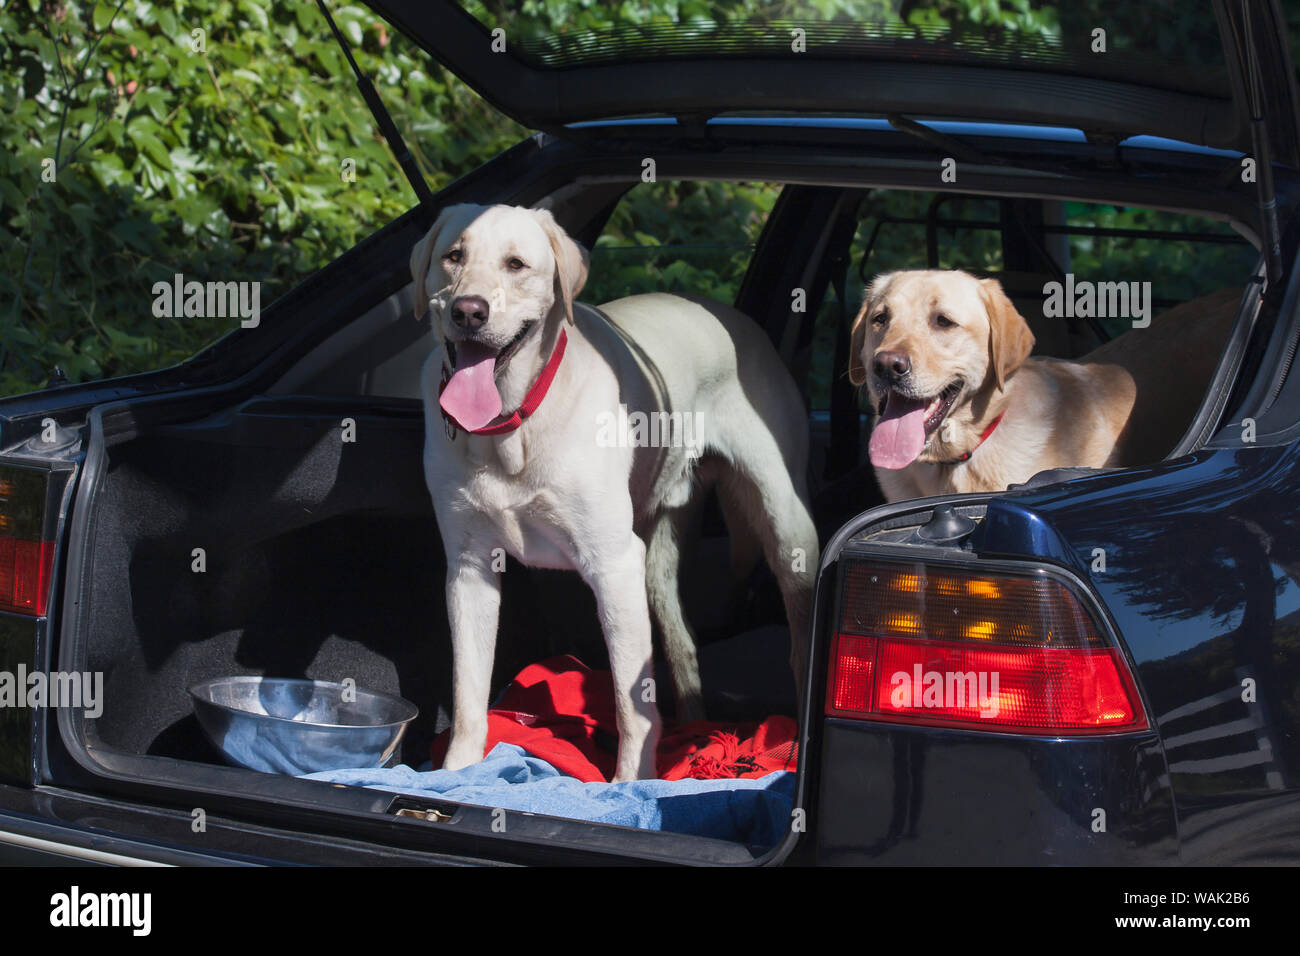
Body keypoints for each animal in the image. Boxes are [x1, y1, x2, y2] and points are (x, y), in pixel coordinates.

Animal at [410, 205, 816, 780]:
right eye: (453, 256)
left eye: (516, 264)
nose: (469, 311)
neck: (512, 425)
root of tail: (729, 315)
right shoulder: (468, 569)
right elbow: (468, 692)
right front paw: (458, 775)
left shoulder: (612, 564)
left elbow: (631, 700)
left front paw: (630, 783)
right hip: (656, 560)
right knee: (683, 645)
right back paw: (697, 732)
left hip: (785, 528)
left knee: (800, 644)